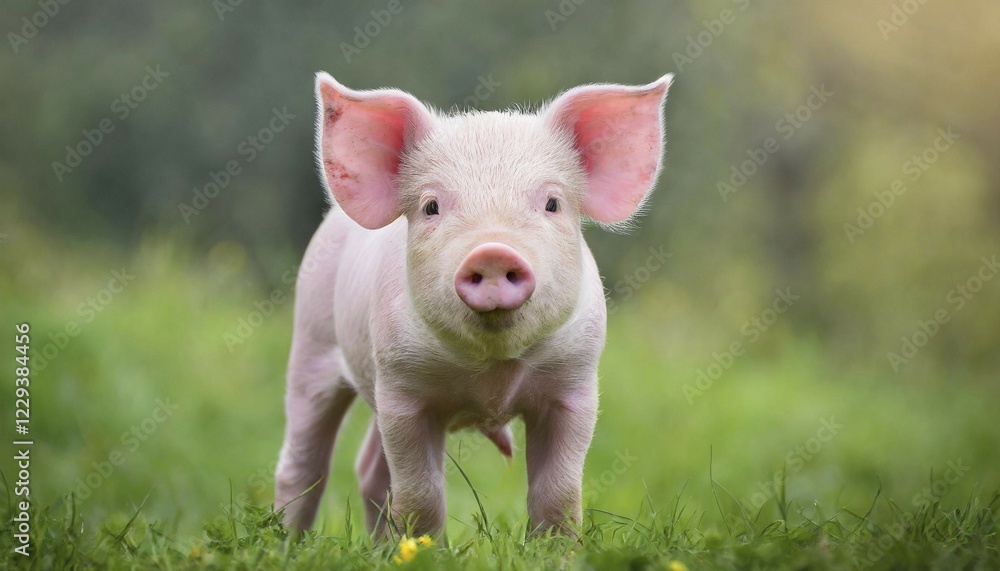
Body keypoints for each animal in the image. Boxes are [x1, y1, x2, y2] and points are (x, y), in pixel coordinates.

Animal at [274, 71, 672, 537]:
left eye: (552, 203)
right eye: (431, 206)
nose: (493, 252)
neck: (492, 376)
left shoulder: (574, 383)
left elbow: (559, 494)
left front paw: (556, 549)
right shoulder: (401, 389)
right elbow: (420, 496)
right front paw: (426, 549)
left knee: (369, 470)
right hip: (311, 343)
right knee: (304, 467)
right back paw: (288, 543)